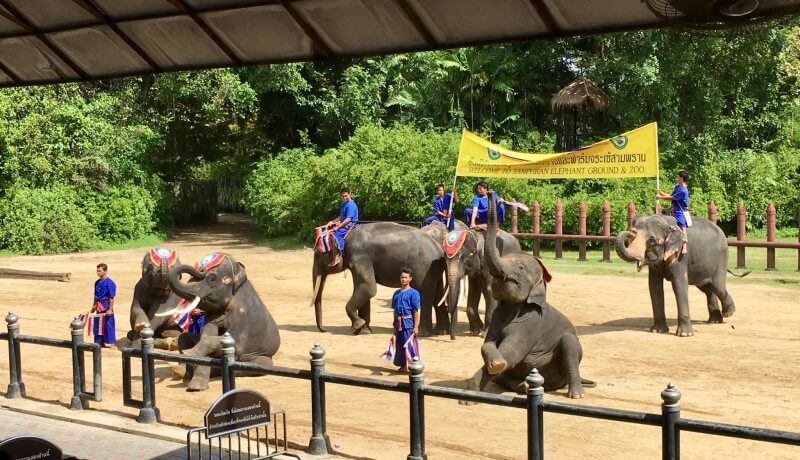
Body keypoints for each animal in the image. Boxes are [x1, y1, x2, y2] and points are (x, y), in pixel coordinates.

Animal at [166, 252, 280, 391]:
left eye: (212, 278)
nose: (201, 269)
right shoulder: (212, 316)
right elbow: (206, 336)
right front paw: (196, 385)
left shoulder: (243, 313)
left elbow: (235, 343)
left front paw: (190, 354)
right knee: (183, 337)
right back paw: (179, 372)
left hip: (261, 356)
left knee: (258, 365)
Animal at [311, 221, 451, 336]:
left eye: (318, 255)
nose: (324, 330)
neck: (346, 235)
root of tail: (439, 249)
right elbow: (362, 288)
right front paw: (364, 331)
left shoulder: (359, 256)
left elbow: (369, 288)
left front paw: (357, 326)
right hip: (433, 270)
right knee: (438, 295)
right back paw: (441, 332)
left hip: (423, 268)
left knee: (424, 296)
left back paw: (421, 333)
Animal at [464, 192, 594, 399]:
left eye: (520, 268)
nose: (491, 193)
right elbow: (488, 345)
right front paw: (493, 366)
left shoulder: (532, 323)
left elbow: (510, 354)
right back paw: (524, 385)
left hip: (567, 355)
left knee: (569, 344)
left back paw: (576, 395)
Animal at [615, 214, 748, 337]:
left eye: (652, 240)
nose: (631, 231)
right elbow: (654, 287)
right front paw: (658, 331)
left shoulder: (681, 255)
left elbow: (679, 284)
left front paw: (685, 334)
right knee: (707, 288)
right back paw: (715, 321)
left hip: (721, 257)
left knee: (717, 286)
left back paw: (728, 313)